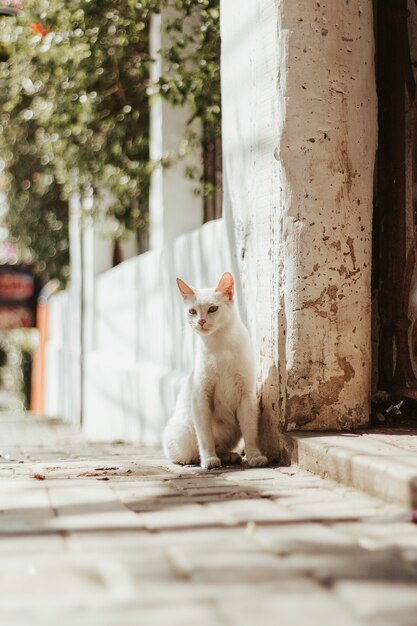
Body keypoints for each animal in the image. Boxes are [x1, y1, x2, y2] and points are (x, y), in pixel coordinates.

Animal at [162, 270, 266, 468]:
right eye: (192, 311)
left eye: (212, 309)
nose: (201, 321)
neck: (220, 345)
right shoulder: (201, 397)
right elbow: (205, 436)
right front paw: (209, 459)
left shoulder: (246, 396)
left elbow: (250, 432)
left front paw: (255, 456)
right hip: (182, 434)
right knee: (187, 451)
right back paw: (196, 459)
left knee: (222, 446)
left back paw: (231, 456)